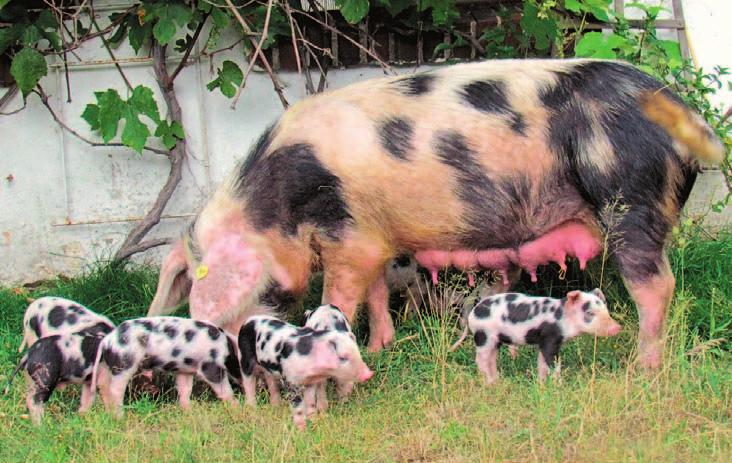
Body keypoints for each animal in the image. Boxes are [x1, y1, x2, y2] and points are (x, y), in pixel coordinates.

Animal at [91, 318, 243, 416]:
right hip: (124, 363)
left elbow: (184, 389)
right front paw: (237, 408)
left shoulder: (184, 369)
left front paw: (189, 411)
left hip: (107, 365)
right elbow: (225, 391)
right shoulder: (210, 366)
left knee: (102, 385)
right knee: (115, 390)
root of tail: (107, 341)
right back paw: (120, 416)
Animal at [146, 59, 724, 370]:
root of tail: (675, 105)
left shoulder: (347, 234)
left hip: (632, 197)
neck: (278, 207)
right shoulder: (373, 236)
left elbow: (339, 295)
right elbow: (377, 290)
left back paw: (642, 368)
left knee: (657, 285)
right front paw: (380, 345)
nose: (227, 355)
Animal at [237, 318, 372, 430]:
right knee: (248, 384)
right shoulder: (291, 381)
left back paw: (276, 406)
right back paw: (252, 409)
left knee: (271, 383)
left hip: (268, 369)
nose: (369, 374)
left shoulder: (310, 381)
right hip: (244, 357)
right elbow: (297, 406)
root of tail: (248, 321)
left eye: (357, 352)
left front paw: (314, 421)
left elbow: (311, 402)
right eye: (343, 357)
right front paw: (302, 429)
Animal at [454, 290, 620, 384]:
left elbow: (541, 363)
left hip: (494, 341)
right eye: (590, 313)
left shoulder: (544, 341)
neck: (562, 318)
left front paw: (541, 384)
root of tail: (472, 313)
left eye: (605, 309)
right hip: (484, 336)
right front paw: (559, 385)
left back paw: (497, 381)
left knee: (491, 359)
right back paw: (489, 383)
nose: (617, 327)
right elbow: (553, 363)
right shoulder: (550, 337)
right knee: (480, 360)